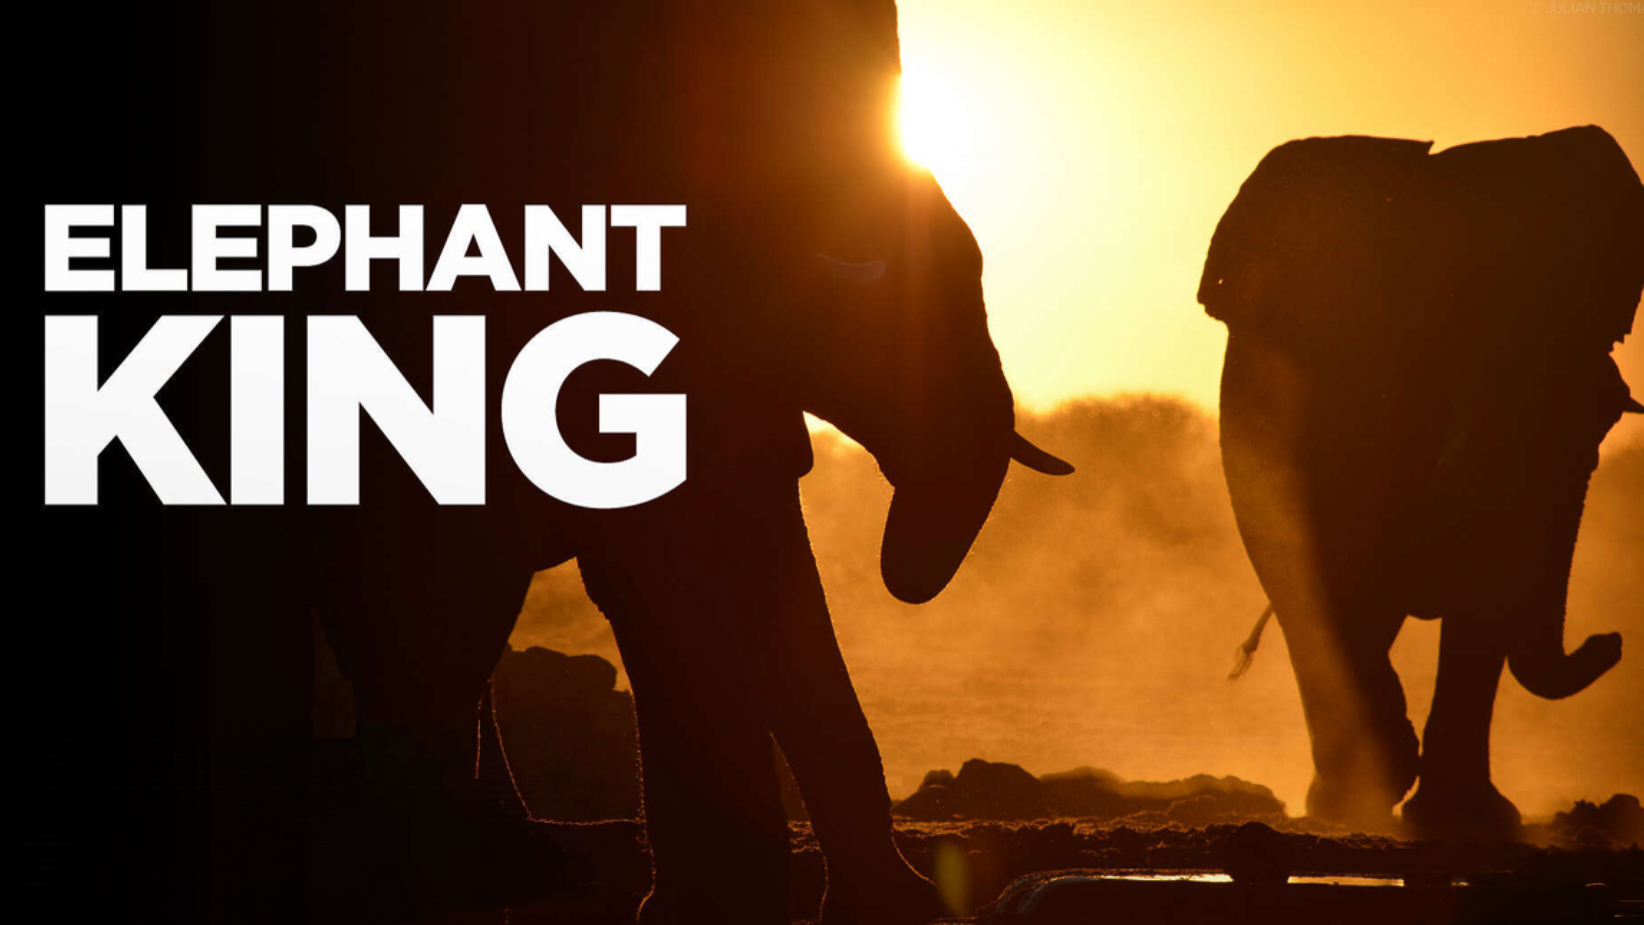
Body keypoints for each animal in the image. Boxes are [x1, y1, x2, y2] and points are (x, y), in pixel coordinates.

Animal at [1200, 126, 1644, 837]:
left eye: (1602, 419)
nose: (1612, 640)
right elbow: (1324, 571)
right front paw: (1379, 783)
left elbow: (1484, 595)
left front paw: (1466, 818)